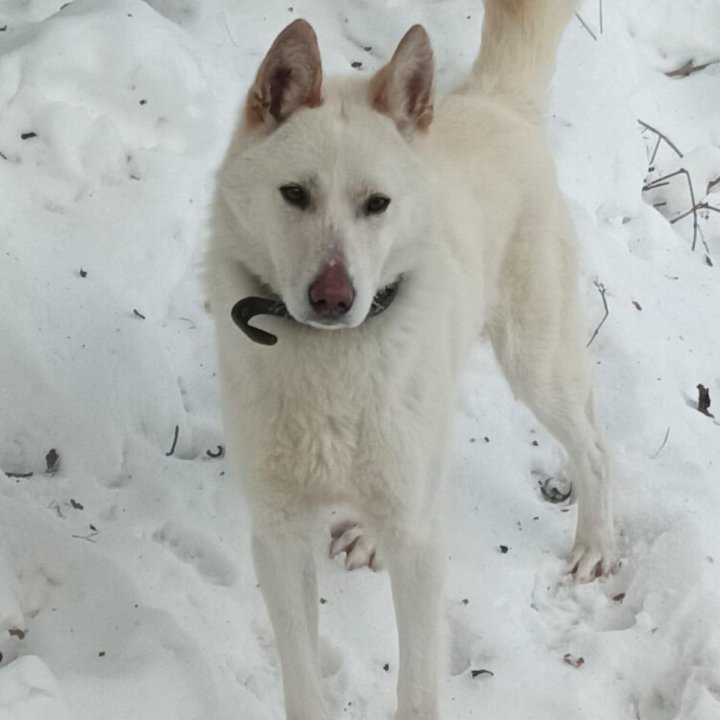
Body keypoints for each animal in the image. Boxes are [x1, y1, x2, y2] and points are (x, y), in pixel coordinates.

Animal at [207, 2, 612, 716]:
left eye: (377, 204)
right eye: (294, 194)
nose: (334, 298)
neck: (329, 360)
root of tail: (494, 100)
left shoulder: (421, 549)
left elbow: (419, 687)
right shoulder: (278, 535)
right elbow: (302, 680)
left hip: (536, 364)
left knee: (591, 446)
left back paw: (593, 544)